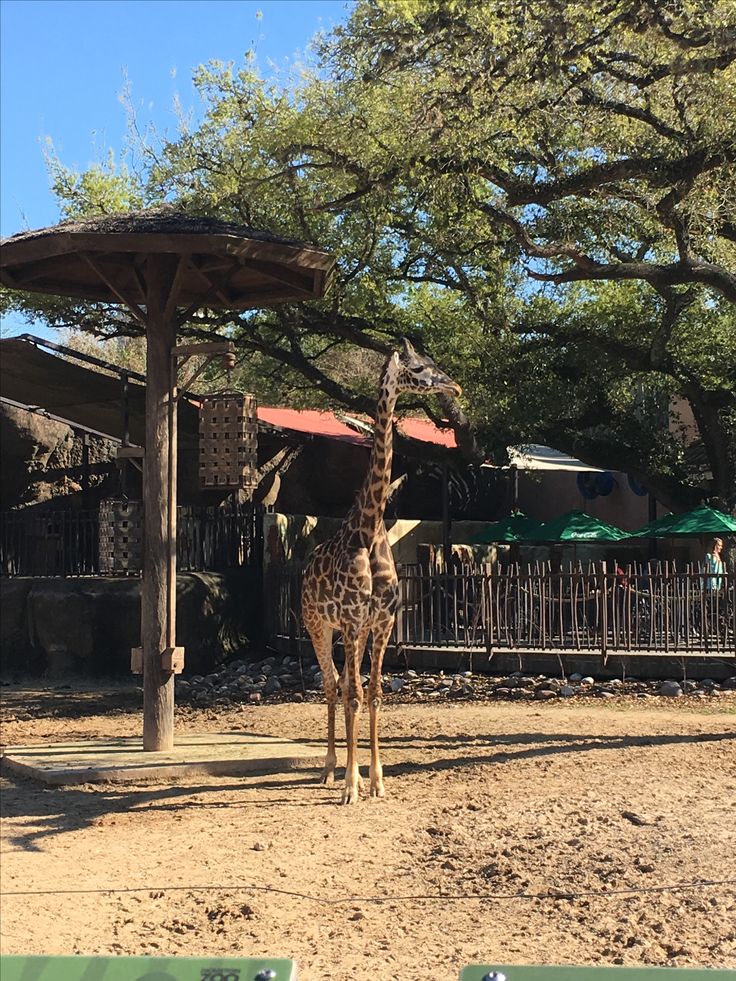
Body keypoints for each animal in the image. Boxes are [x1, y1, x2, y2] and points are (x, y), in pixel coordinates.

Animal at [300, 336, 460, 804]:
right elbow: (353, 695)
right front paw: (351, 785)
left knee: (340, 684)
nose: (455, 387)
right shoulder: (355, 621)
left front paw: (376, 780)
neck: (369, 529)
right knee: (332, 685)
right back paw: (329, 770)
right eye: (420, 367)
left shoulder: (382, 622)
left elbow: (373, 694)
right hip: (317, 624)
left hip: (340, 630)